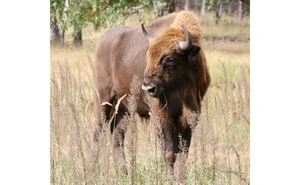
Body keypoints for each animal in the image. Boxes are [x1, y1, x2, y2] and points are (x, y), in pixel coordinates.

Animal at [94, 10, 211, 178]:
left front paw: (181, 177)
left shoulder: (191, 116)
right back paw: (92, 170)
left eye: (170, 59)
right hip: (104, 98)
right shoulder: (162, 115)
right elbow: (169, 151)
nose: (148, 87)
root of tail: (104, 38)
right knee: (98, 132)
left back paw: (124, 173)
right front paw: (170, 178)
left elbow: (183, 153)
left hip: (125, 106)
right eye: (148, 55)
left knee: (117, 135)